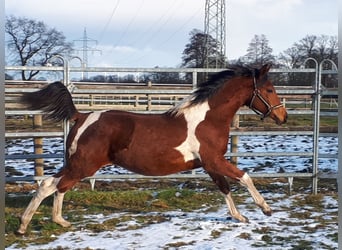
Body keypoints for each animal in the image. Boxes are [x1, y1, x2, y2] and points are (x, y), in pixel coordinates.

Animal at [17, 64, 288, 234]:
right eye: (269, 90)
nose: (282, 117)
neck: (207, 119)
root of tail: (82, 116)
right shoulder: (214, 160)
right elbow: (244, 177)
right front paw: (266, 209)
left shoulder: (210, 164)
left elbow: (224, 188)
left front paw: (239, 216)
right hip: (83, 165)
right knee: (50, 185)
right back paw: (23, 226)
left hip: (76, 164)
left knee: (58, 186)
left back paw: (60, 221)